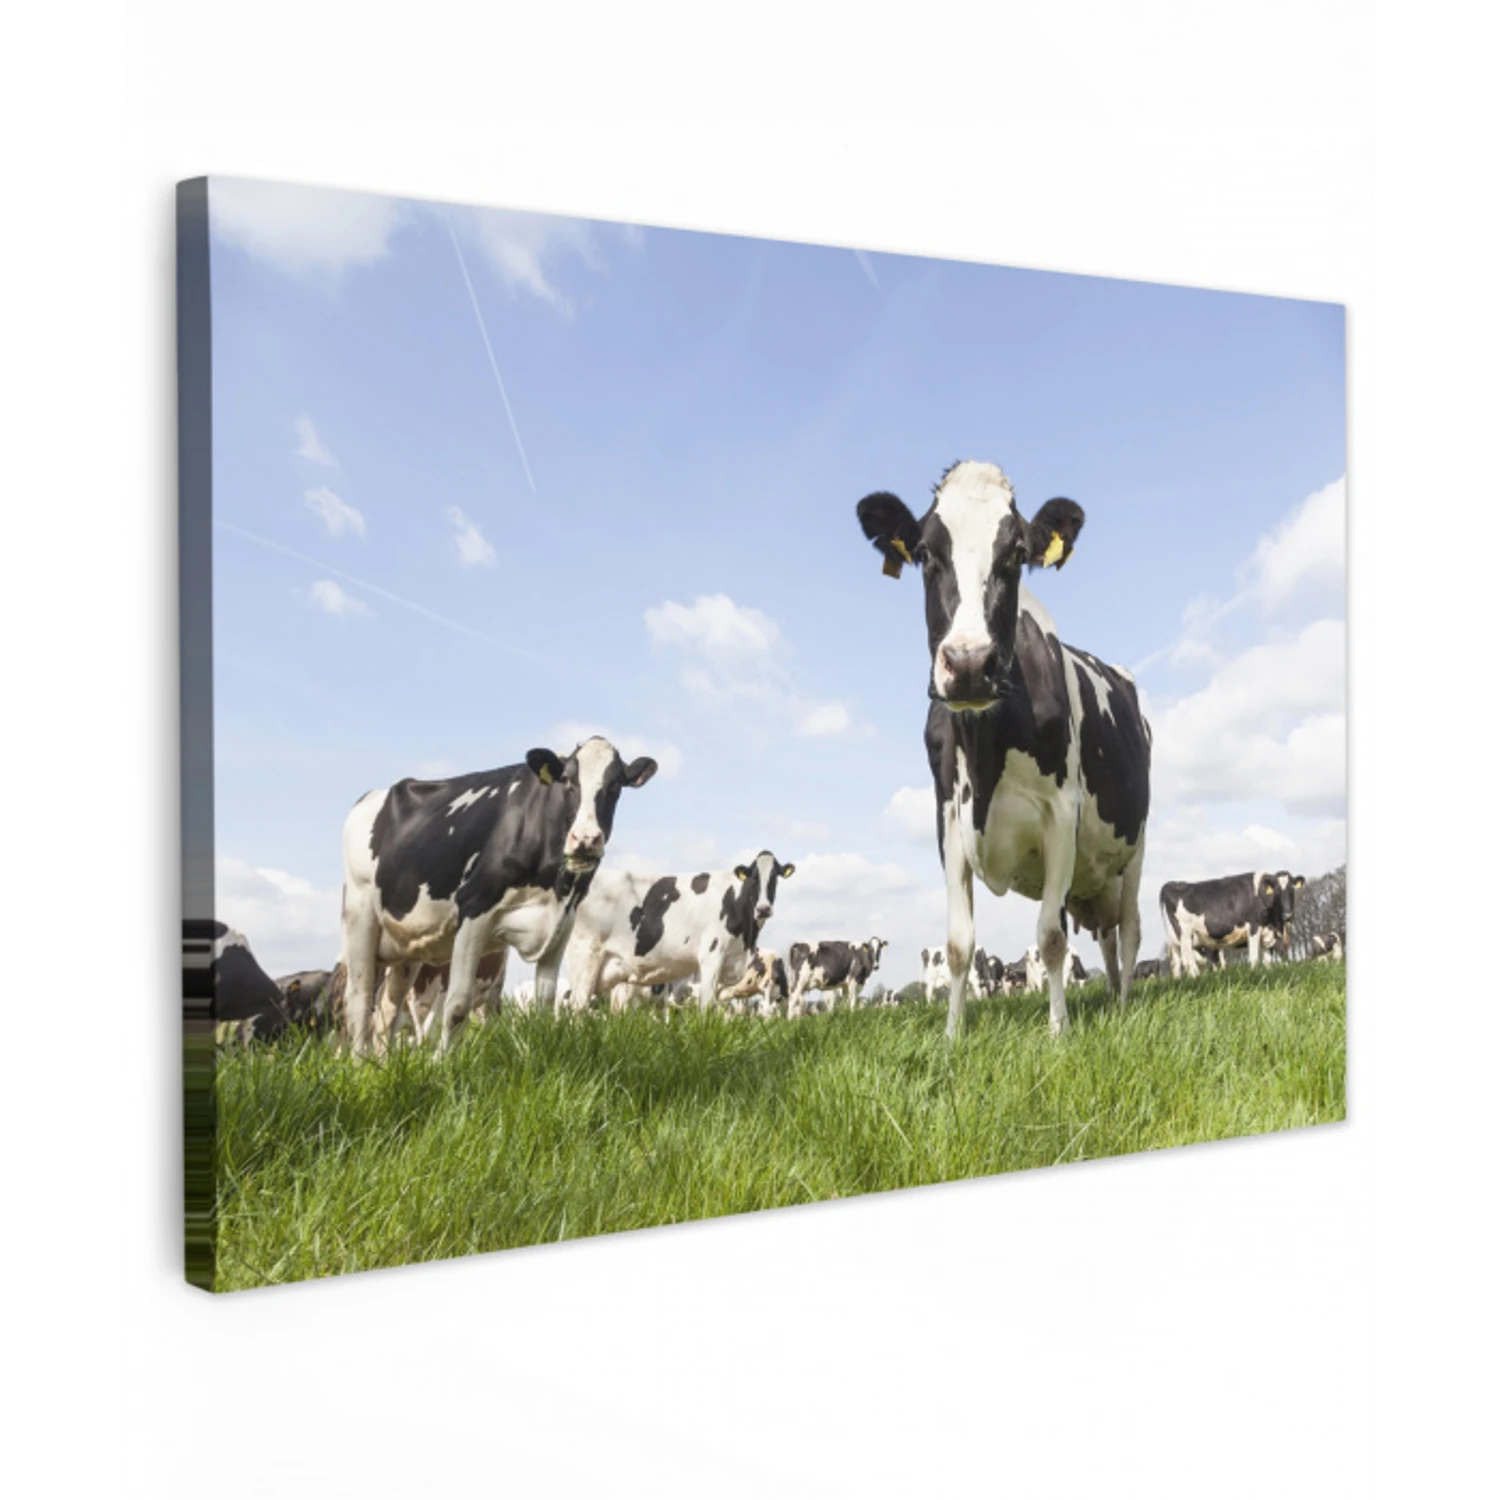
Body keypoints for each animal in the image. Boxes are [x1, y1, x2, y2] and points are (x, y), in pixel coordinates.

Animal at [339, 736, 658, 1055]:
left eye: (616, 784)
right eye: (567, 780)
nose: (586, 839)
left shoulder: (562, 920)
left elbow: (544, 1002)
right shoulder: (474, 907)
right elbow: (458, 1005)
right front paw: (442, 1060)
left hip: (408, 941)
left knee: (387, 1009)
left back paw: (380, 1062)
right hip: (360, 913)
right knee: (358, 999)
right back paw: (359, 1061)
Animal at [559, 851, 795, 1013]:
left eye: (774, 878)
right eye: (754, 878)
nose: (763, 908)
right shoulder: (711, 956)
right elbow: (707, 1006)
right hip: (585, 957)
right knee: (578, 1006)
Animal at [857, 460, 1152, 1038]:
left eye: (1016, 552)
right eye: (924, 552)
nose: (970, 663)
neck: (986, 751)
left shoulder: (1062, 811)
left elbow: (1051, 938)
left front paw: (1059, 1032)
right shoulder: (948, 816)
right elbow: (958, 944)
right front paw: (952, 1036)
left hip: (1136, 847)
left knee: (1128, 929)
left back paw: (1126, 1005)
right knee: (1106, 937)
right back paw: (1111, 998)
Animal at [1159, 871, 1305, 977]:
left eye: (1292, 890)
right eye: (1277, 892)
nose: (1288, 915)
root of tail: (1170, 885)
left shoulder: (1268, 933)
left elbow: (1268, 961)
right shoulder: (1254, 926)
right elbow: (1254, 958)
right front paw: (1254, 976)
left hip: (1175, 940)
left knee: (1176, 964)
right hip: (1185, 935)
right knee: (1189, 962)